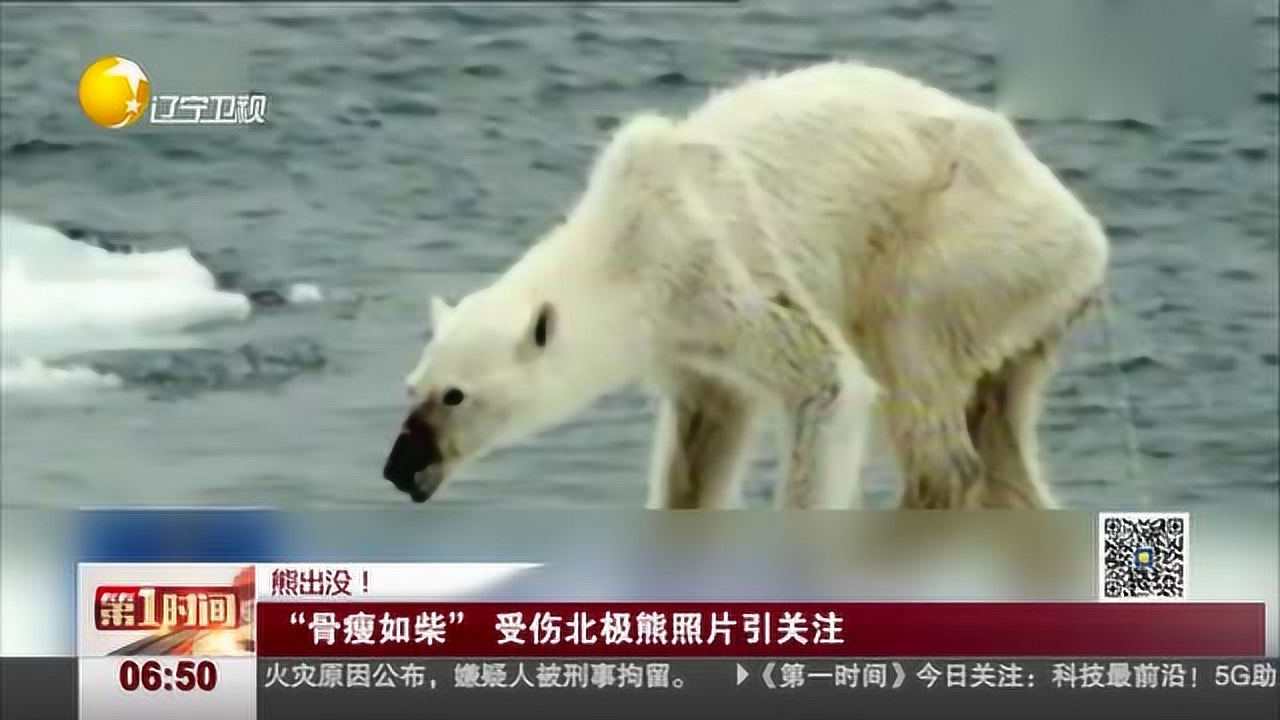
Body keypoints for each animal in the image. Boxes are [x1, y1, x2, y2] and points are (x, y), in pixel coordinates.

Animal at [381, 63, 1111, 509]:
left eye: (455, 395)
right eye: (413, 387)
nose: (399, 467)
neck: (628, 236)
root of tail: (1086, 234)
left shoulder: (719, 267)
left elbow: (828, 384)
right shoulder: (687, 349)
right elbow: (703, 438)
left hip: (958, 246)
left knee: (914, 364)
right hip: (1019, 306)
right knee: (1001, 431)